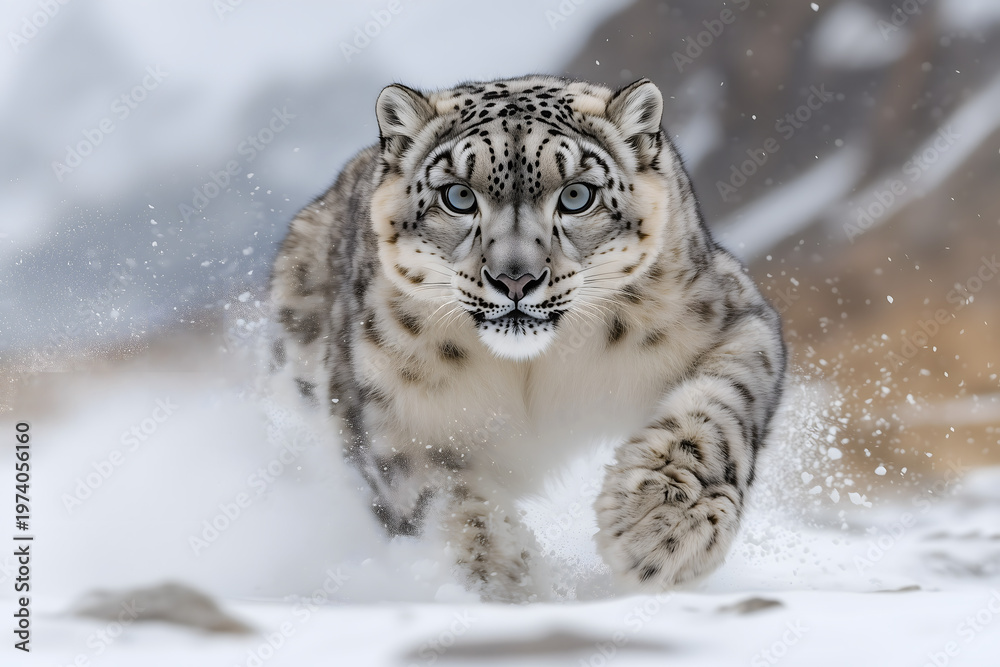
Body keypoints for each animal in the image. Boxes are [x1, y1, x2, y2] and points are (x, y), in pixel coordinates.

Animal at [268, 75, 786, 602]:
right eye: (458, 196)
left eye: (577, 195)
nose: (515, 278)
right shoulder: (389, 416)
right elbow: (446, 501)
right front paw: (507, 580)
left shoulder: (731, 318)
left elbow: (715, 415)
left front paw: (662, 527)